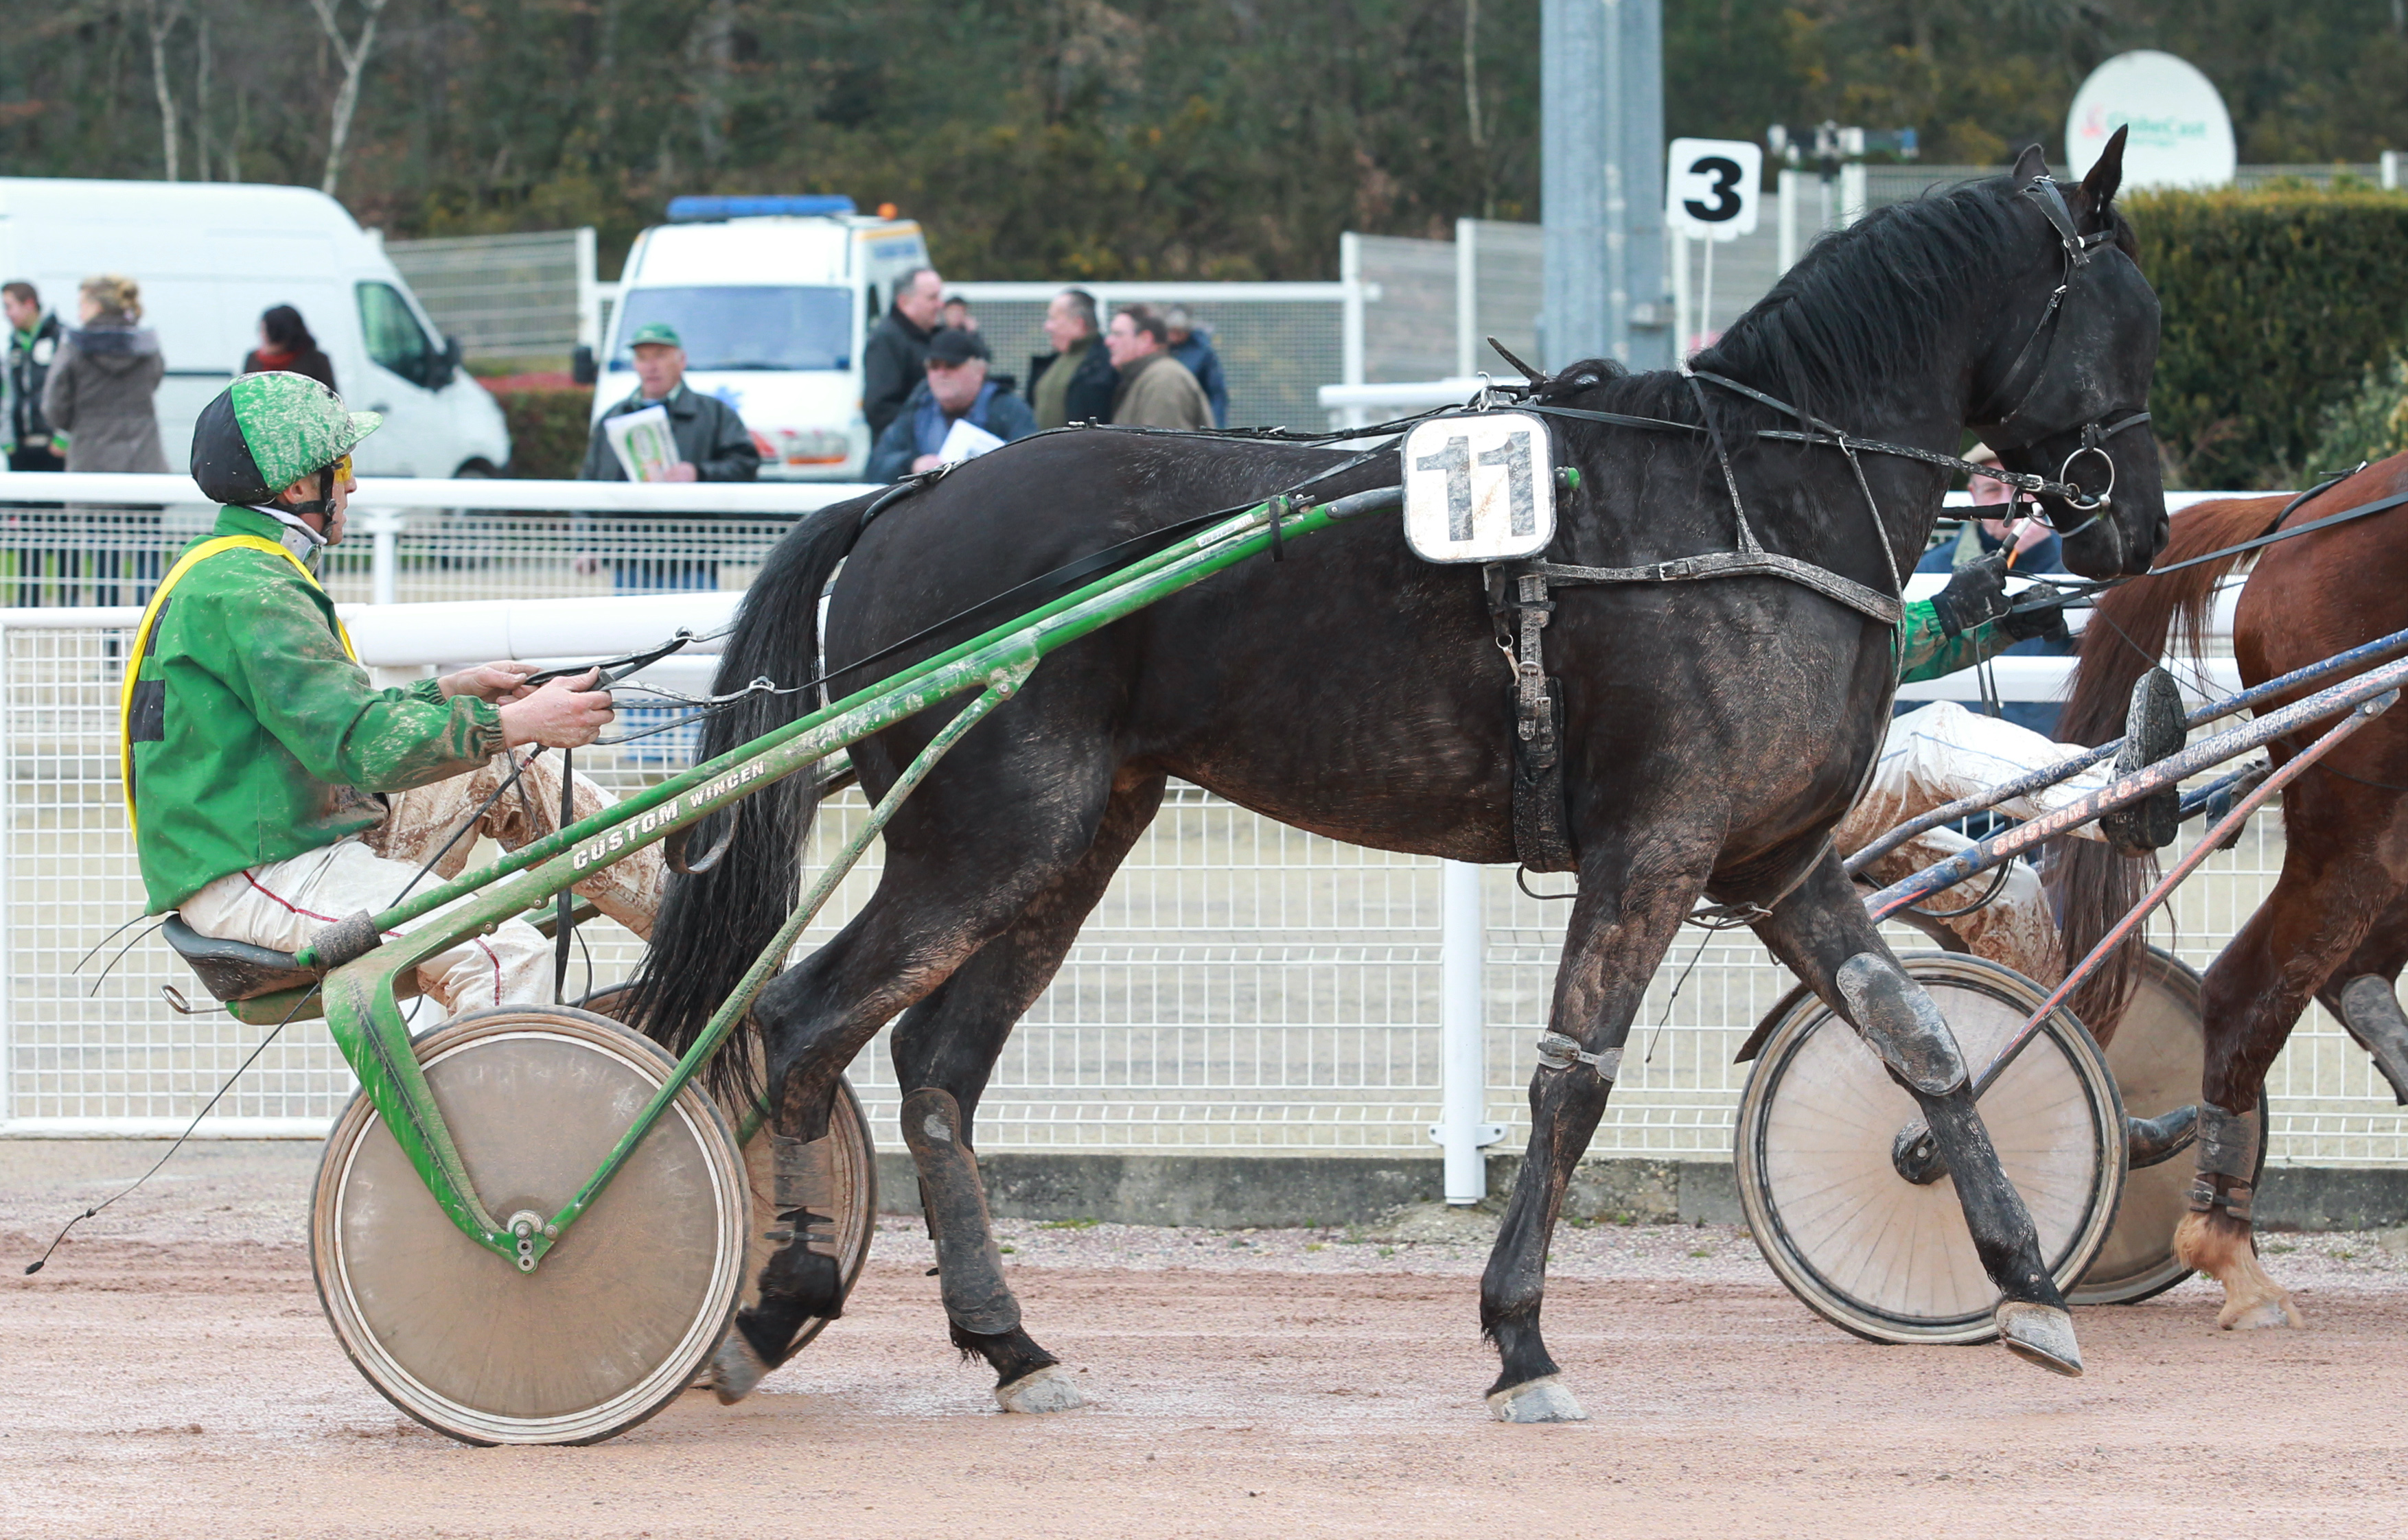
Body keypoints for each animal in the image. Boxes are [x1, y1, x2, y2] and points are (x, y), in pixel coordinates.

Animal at [621, 141, 2167, 1424]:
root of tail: (909, 496)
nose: (2139, 525)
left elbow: (1922, 1043)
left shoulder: (1774, 859)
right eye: (2123, 313)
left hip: (1070, 840)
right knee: (799, 1021)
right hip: (984, 836)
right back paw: (779, 1298)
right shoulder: (1653, 849)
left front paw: (2027, 1283)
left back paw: (1008, 1342)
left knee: (936, 1066)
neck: (1748, 500)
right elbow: (1570, 1085)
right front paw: (1520, 1339)